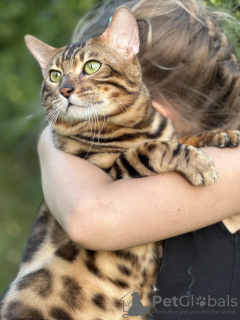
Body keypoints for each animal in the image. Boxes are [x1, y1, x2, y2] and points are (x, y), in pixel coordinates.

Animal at [0, 6, 239, 320]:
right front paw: (198, 163)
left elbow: (183, 136)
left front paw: (221, 134)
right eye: (54, 75)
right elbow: (151, 149)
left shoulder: (165, 134)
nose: (65, 90)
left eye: (91, 66)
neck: (136, 124)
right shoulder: (113, 171)